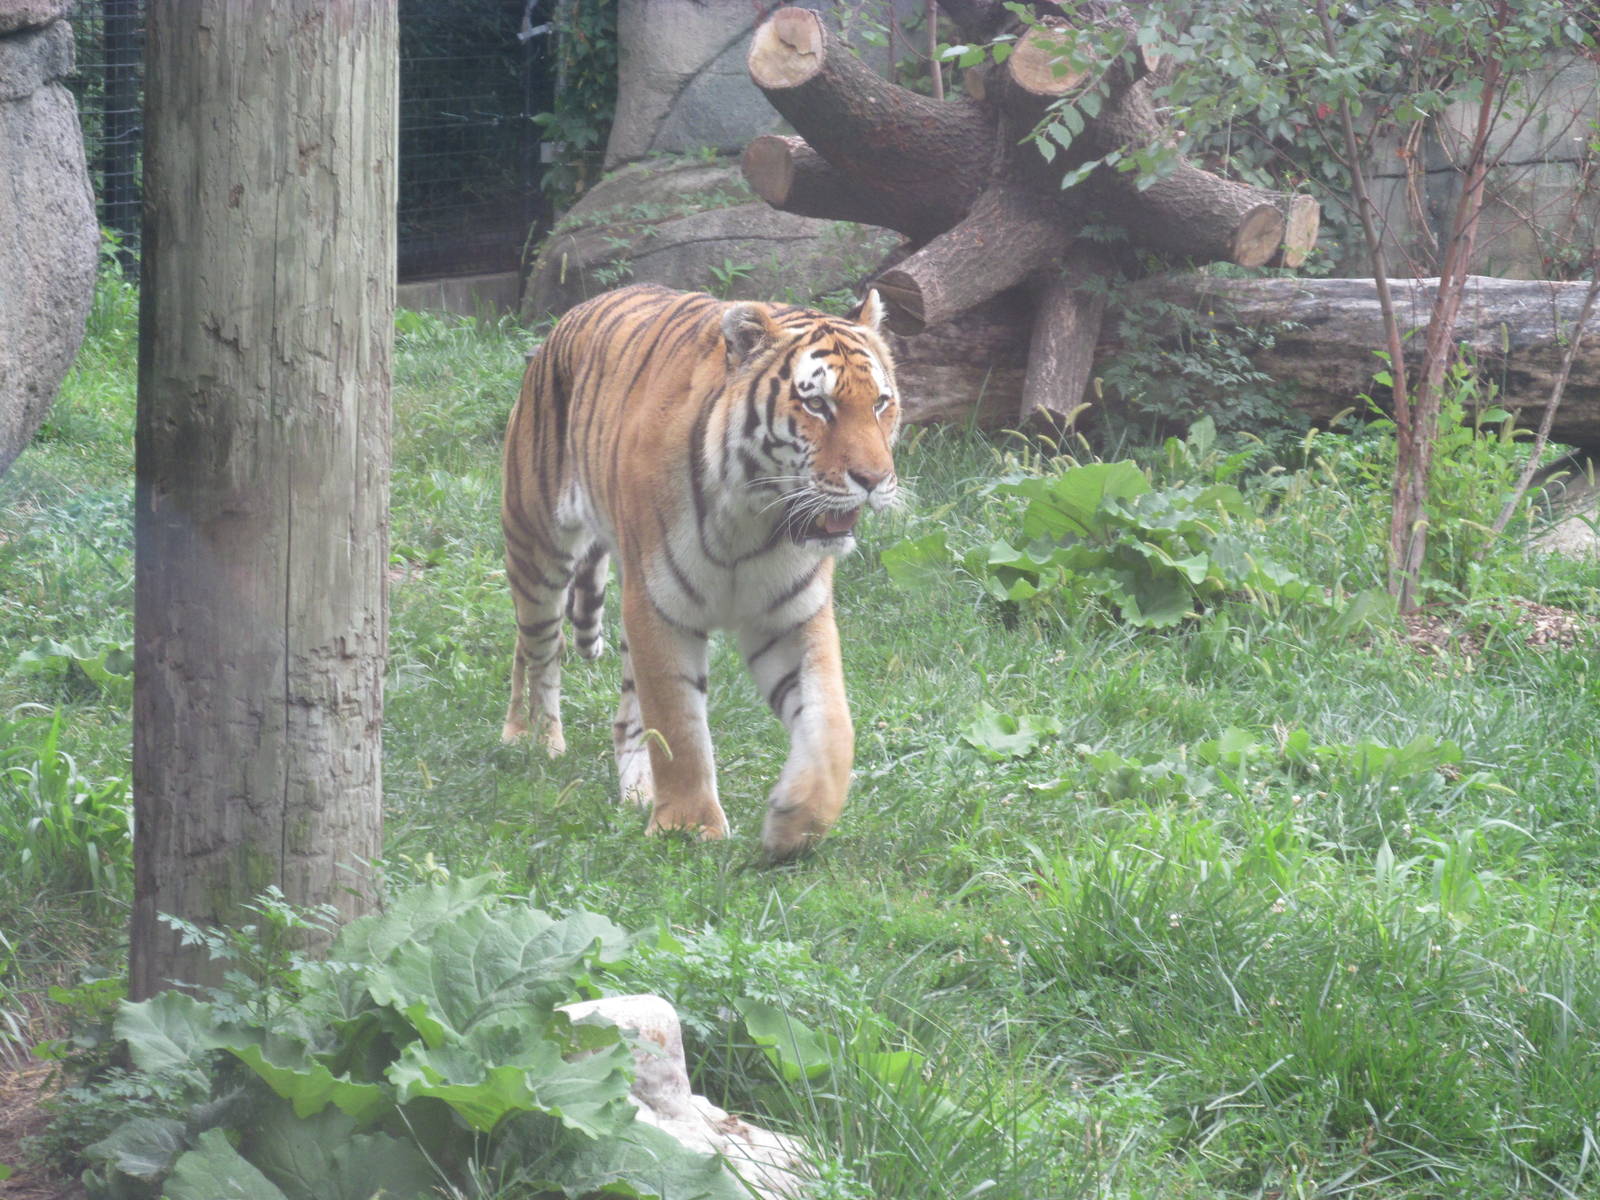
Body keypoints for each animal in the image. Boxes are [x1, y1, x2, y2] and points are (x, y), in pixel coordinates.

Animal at [500, 284, 902, 862]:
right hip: (536, 549)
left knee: (622, 714)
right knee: (535, 650)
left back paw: (637, 789)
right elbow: (679, 725)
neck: (755, 517)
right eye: (816, 404)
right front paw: (689, 828)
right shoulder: (659, 608)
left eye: (880, 403)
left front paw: (795, 822)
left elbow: (831, 726)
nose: (874, 479)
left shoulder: (791, 617)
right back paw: (533, 740)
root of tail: (575, 313)